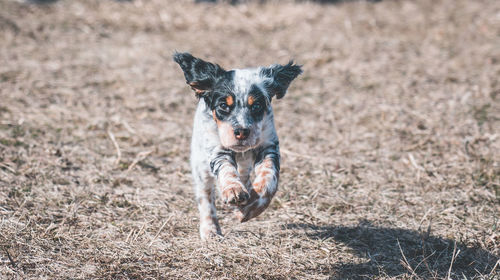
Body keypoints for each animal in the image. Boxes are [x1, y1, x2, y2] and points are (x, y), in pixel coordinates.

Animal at [174, 52, 302, 238]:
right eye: (223, 105)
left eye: (256, 105)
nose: (241, 131)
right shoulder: (217, 149)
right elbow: (226, 171)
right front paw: (233, 190)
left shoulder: (268, 146)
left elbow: (269, 177)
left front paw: (249, 208)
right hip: (200, 166)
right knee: (205, 196)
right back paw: (210, 230)